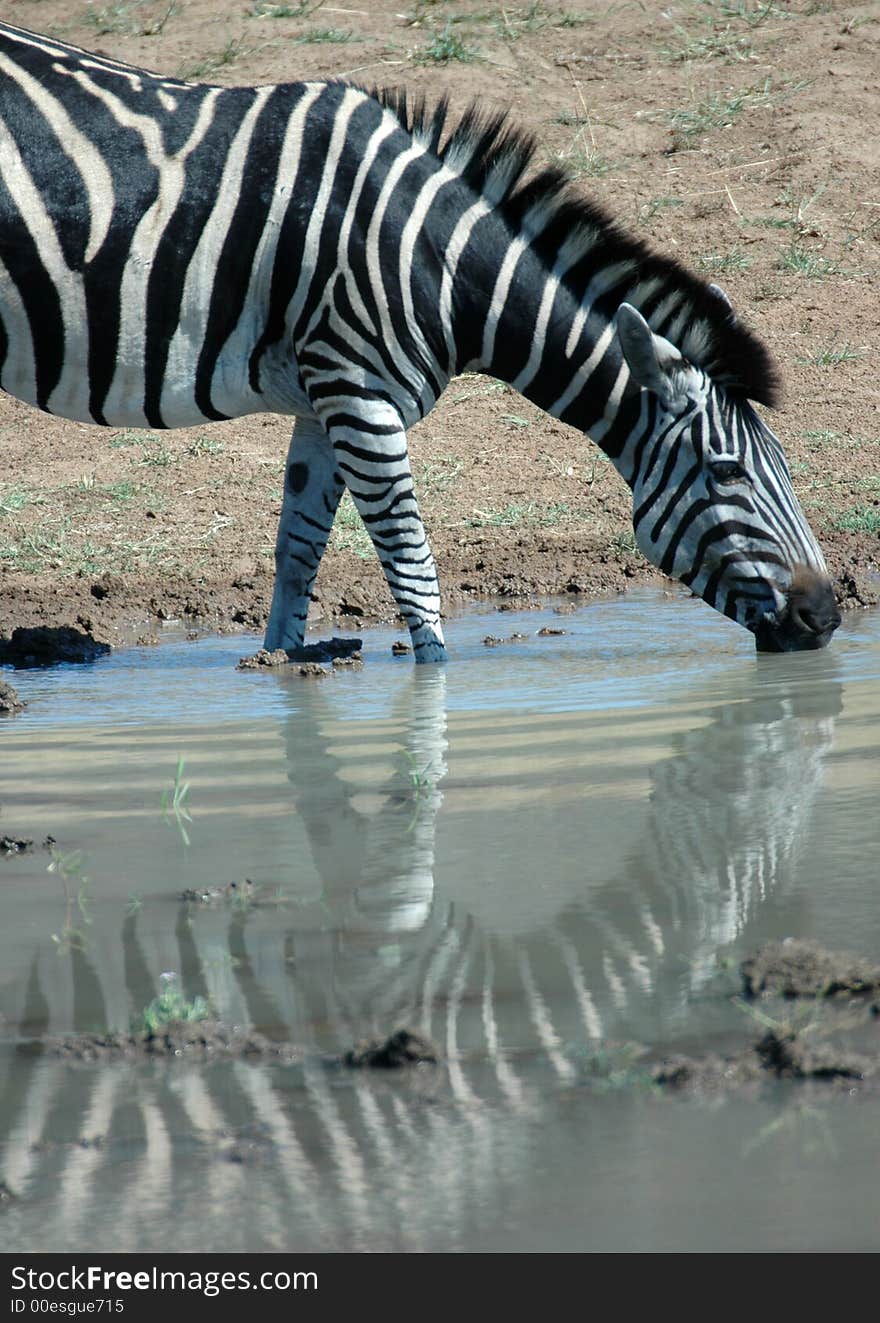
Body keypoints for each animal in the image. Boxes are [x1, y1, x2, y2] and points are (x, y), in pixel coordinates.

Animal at [0, 20, 836, 661]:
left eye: (786, 465)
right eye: (726, 473)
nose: (827, 616)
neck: (435, 261)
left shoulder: (323, 399)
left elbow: (297, 551)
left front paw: (283, 673)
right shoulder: (362, 397)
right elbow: (413, 569)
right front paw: (432, 690)